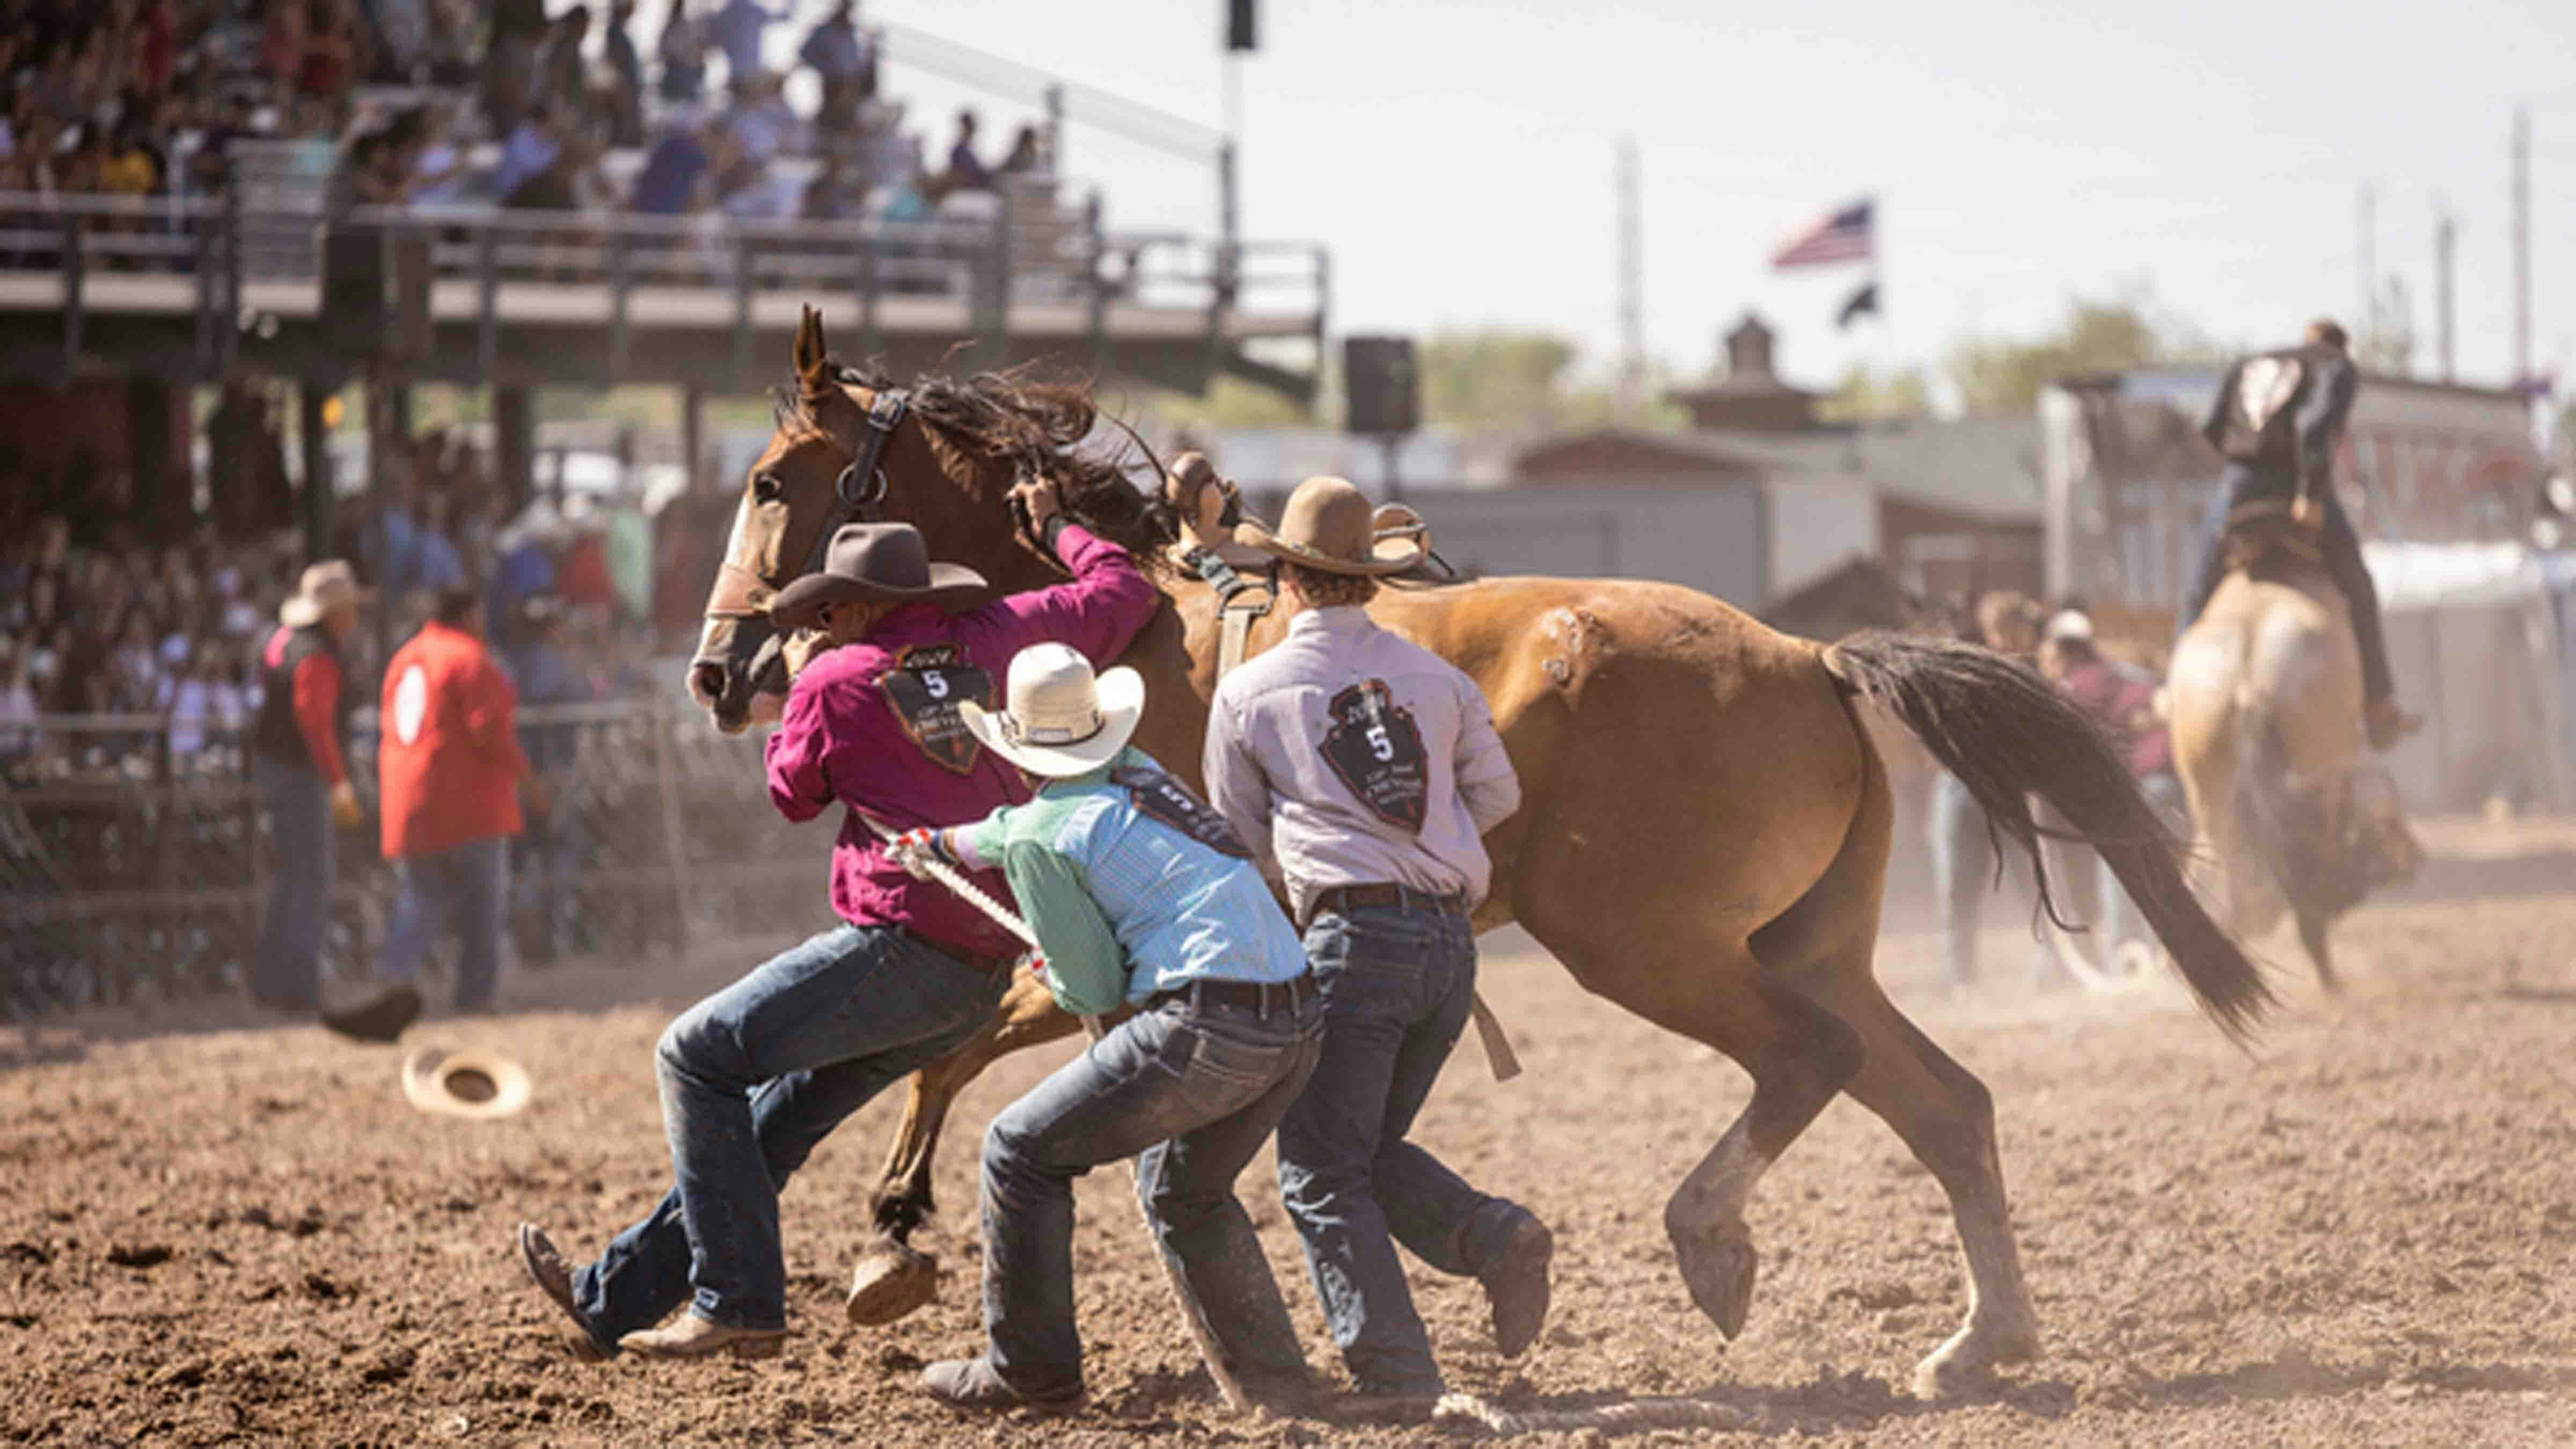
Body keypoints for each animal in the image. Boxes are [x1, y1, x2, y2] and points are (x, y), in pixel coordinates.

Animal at [690, 306, 2277, 1402]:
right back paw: (1974, 1342)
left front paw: (891, 1232)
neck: (1130, 625)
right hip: (1810, 941)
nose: (717, 672)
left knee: (1808, 1060)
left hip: (1645, 943)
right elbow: (982, 1048)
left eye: (770, 479)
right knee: (1944, 1103)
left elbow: (964, 1045)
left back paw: (1713, 1242)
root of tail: (1811, 656)